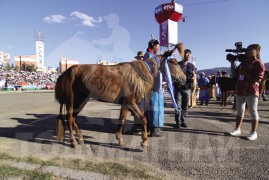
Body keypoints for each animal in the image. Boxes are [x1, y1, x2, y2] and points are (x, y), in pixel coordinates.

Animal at [54, 43, 184, 148]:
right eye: (174, 62)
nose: (184, 78)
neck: (138, 74)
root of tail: (65, 73)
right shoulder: (131, 102)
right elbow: (143, 118)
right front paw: (144, 142)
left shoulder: (125, 104)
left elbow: (122, 120)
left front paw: (120, 139)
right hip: (71, 101)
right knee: (69, 119)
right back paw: (73, 141)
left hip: (81, 101)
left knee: (73, 118)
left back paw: (80, 138)